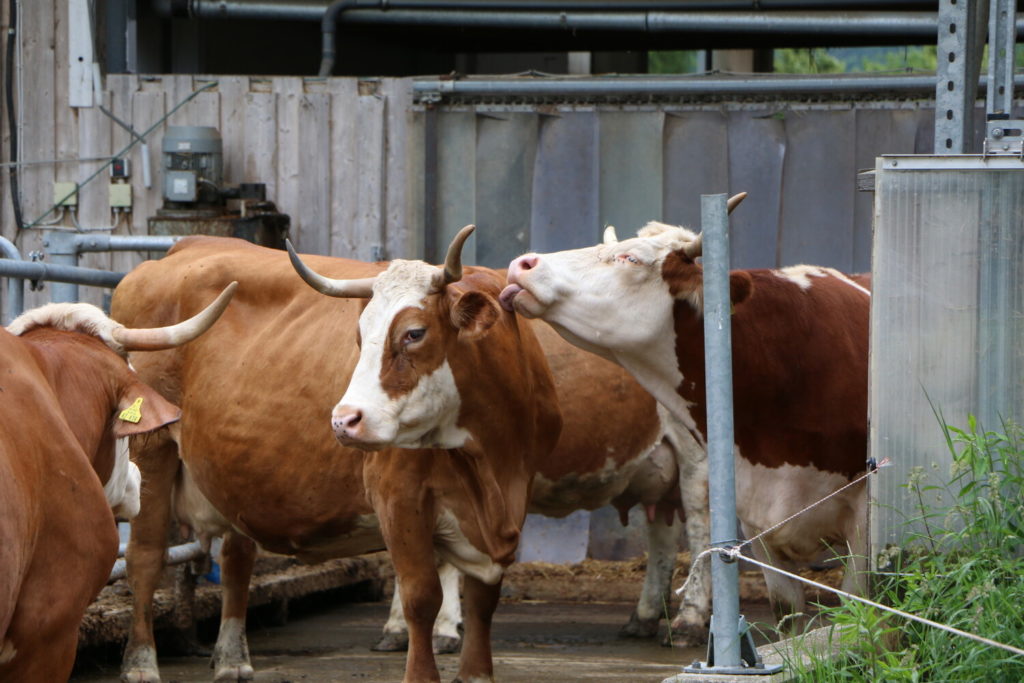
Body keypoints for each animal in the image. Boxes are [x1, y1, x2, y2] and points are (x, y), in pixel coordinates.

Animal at [112, 231, 561, 683]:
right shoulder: (399, 498)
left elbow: (484, 598)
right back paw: (140, 663)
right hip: (150, 452)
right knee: (145, 557)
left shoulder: (511, 507)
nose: (345, 420)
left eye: (414, 333)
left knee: (237, 558)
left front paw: (475, 673)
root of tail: (187, 245)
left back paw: (232, 658)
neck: (490, 469)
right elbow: (421, 597)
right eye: (359, 336)